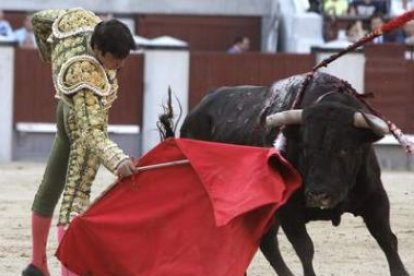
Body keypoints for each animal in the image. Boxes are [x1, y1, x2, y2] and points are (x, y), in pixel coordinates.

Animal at [180, 71, 410, 276]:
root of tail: (195, 113)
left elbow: (387, 240)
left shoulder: (375, 198)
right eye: (305, 147)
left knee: (265, 241)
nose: (318, 194)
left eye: (345, 149)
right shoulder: (288, 210)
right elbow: (305, 248)